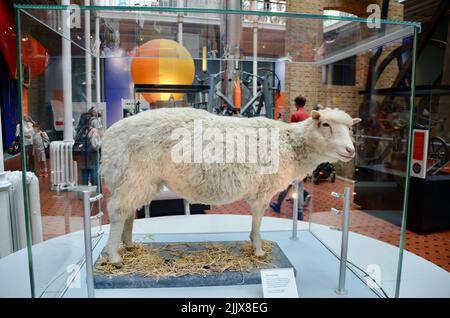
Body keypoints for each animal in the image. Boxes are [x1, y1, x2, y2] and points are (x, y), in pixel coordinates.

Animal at [101, 107, 358, 266]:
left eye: (350, 129)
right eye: (325, 124)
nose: (351, 150)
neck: (291, 145)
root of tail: (108, 136)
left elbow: (256, 218)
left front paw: (254, 243)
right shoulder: (263, 188)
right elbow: (258, 218)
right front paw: (258, 248)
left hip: (138, 180)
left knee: (128, 213)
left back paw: (129, 245)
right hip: (134, 175)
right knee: (117, 212)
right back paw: (114, 256)